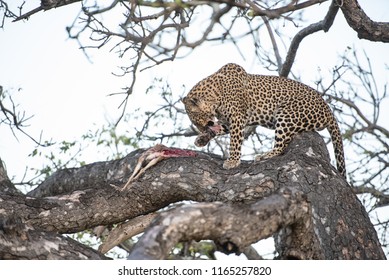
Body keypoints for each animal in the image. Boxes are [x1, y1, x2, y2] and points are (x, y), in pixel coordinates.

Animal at [182, 63, 346, 177]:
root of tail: (328, 110)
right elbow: (220, 129)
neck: (216, 95)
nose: (201, 129)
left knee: (281, 145)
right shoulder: (233, 121)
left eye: (197, 120)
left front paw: (233, 161)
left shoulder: (237, 117)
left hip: (286, 114)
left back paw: (264, 155)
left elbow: (234, 141)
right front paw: (202, 139)